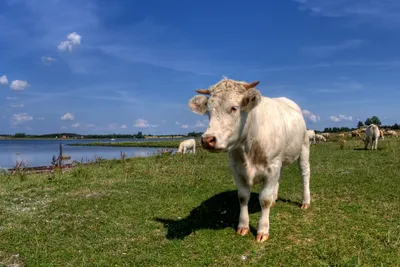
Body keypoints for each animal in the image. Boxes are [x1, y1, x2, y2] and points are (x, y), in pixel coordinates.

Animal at [188, 78, 312, 244]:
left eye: (234, 108)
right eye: (208, 112)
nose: (207, 140)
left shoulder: (272, 166)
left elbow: (264, 199)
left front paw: (263, 230)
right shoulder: (236, 168)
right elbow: (243, 197)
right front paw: (243, 226)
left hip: (304, 147)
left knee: (305, 173)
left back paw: (305, 201)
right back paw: (275, 198)